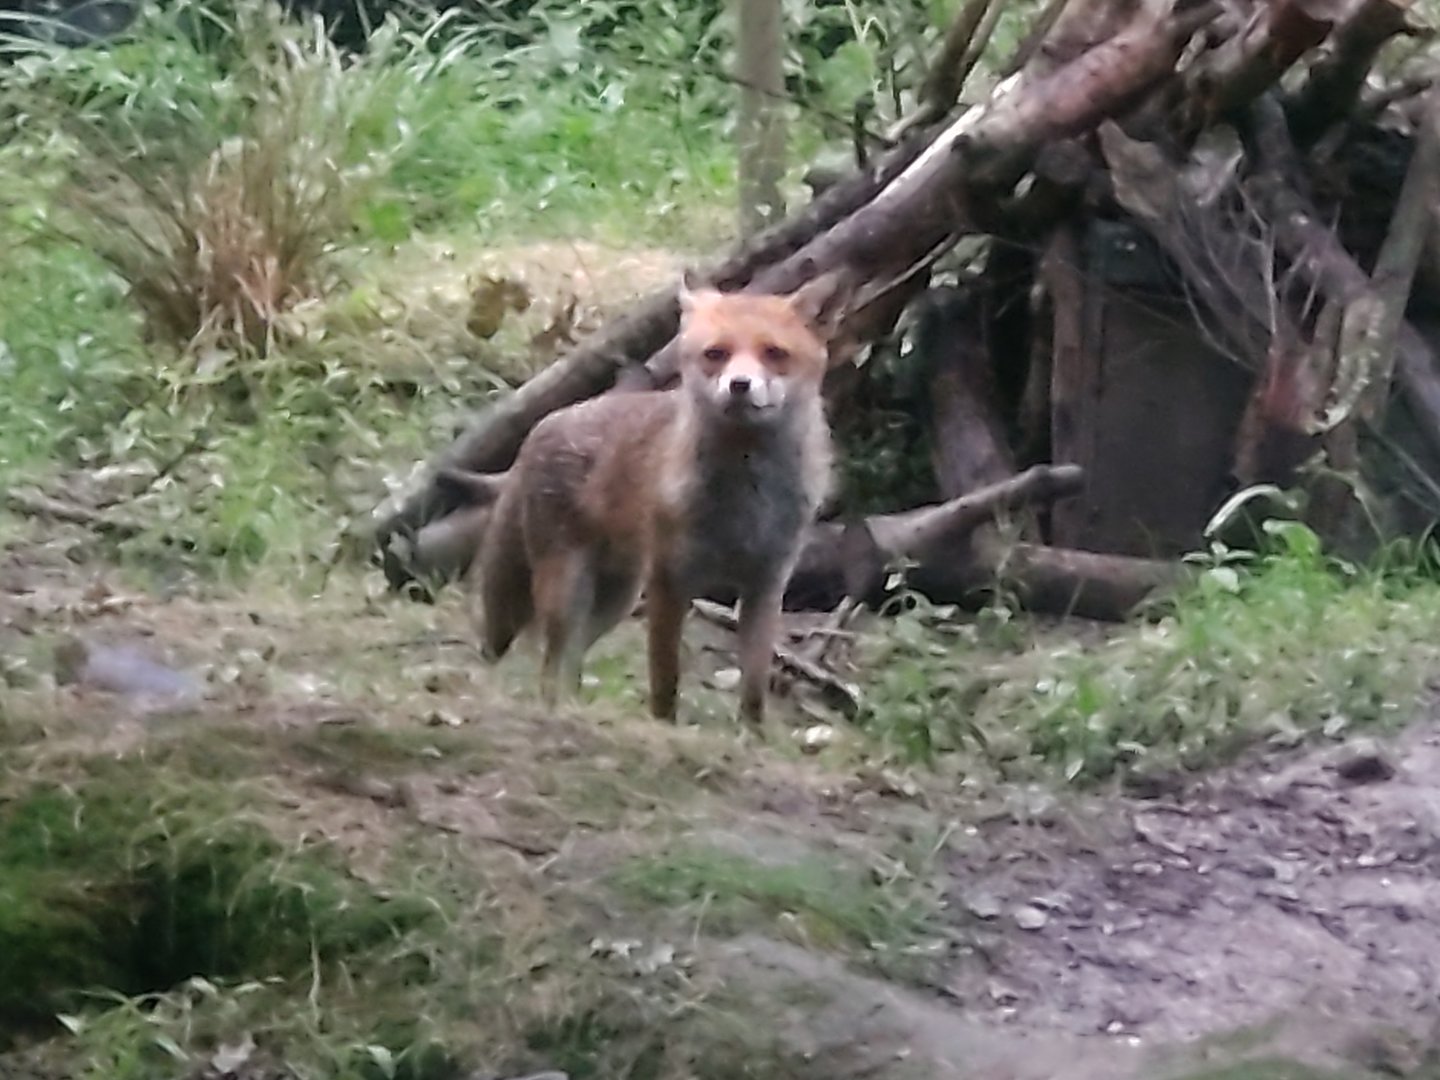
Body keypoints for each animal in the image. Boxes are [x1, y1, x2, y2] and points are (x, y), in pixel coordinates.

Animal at [472, 270, 851, 725]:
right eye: (716, 354)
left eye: (774, 353)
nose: (740, 386)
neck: (745, 501)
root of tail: (540, 425)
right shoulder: (671, 579)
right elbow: (665, 683)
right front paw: (664, 728)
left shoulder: (767, 582)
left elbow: (754, 689)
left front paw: (751, 736)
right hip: (568, 591)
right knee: (550, 663)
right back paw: (556, 711)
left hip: (615, 598)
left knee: (572, 662)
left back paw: (576, 708)